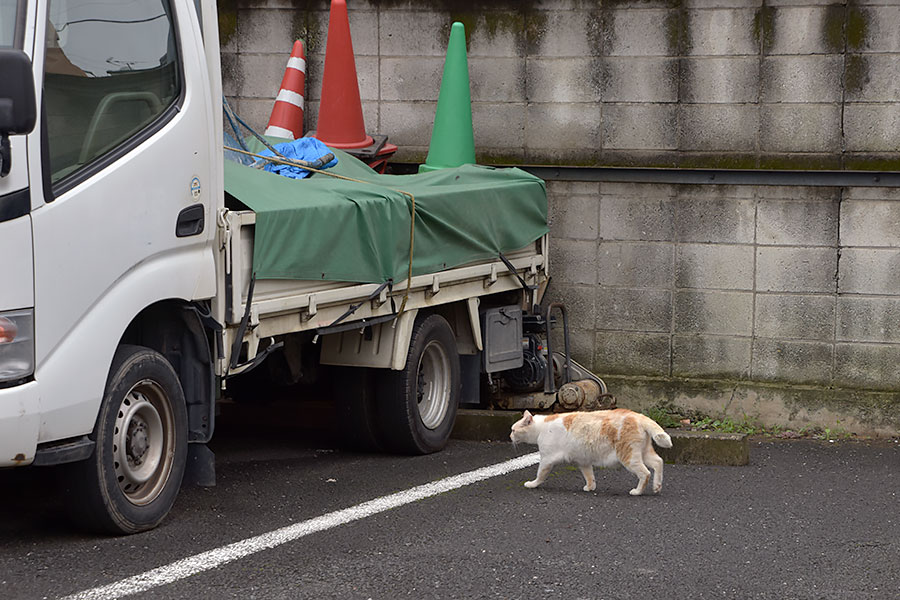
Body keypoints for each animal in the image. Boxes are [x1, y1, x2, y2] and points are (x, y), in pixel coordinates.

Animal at [510, 408, 672, 496]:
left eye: (513, 430)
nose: (509, 436)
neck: (541, 427)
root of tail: (638, 416)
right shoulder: (583, 461)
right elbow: (589, 476)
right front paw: (590, 487)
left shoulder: (546, 460)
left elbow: (540, 475)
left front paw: (532, 484)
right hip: (643, 453)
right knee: (658, 462)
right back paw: (657, 486)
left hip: (629, 457)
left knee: (645, 473)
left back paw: (638, 491)